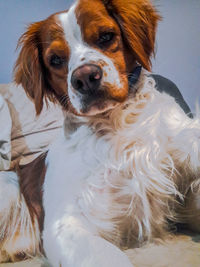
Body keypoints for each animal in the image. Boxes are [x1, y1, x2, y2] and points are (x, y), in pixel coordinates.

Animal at [0, 0, 199, 266]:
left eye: (106, 36)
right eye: (55, 59)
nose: (85, 77)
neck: (118, 125)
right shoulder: (65, 223)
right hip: (9, 186)